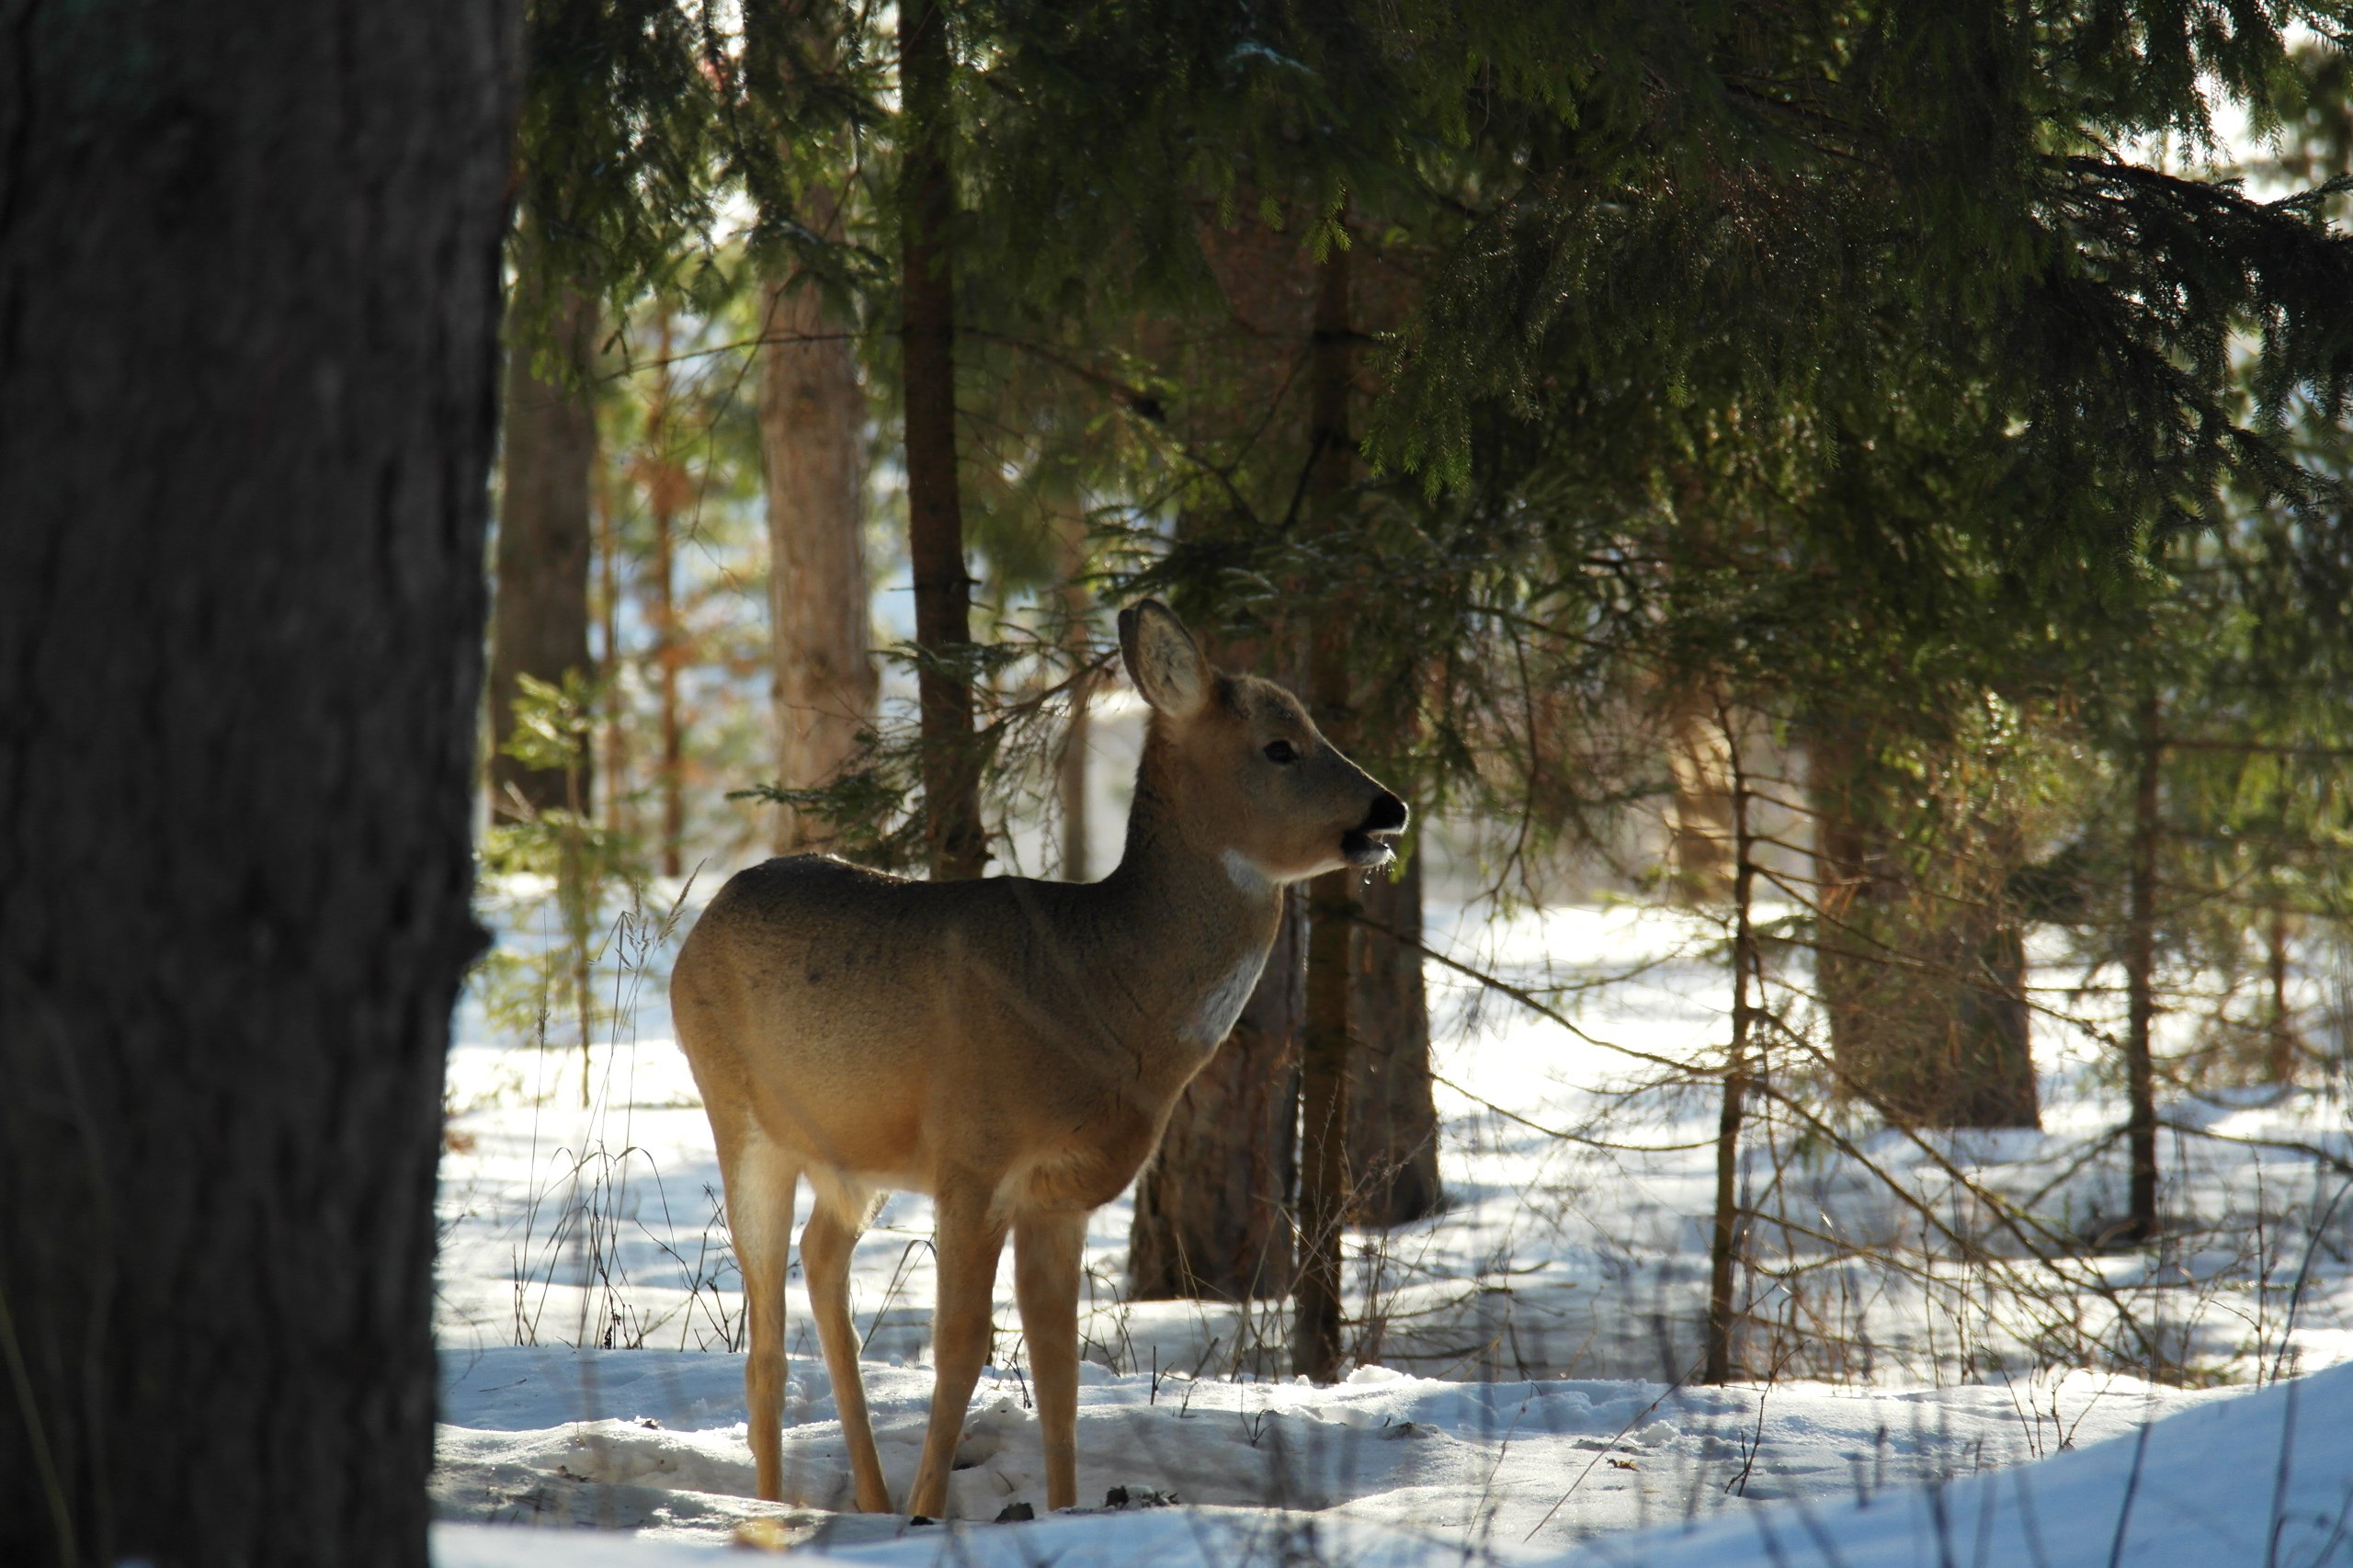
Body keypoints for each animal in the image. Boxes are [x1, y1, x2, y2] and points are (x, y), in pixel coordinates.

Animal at [663, 596, 1402, 1516]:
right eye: (1279, 745)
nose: (1390, 810)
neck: (1101, 995)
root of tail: (699, 924)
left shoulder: (1062, 1193)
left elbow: (1059, 1367)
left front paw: (1060, 1508)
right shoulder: (973, 1156)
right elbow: (961, 1345)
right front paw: (929, 1513)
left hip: (854, 1154)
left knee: (822, 1255)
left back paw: (868, 1497)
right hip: (739, 1116)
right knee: (763, 1332)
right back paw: (777, 1507)